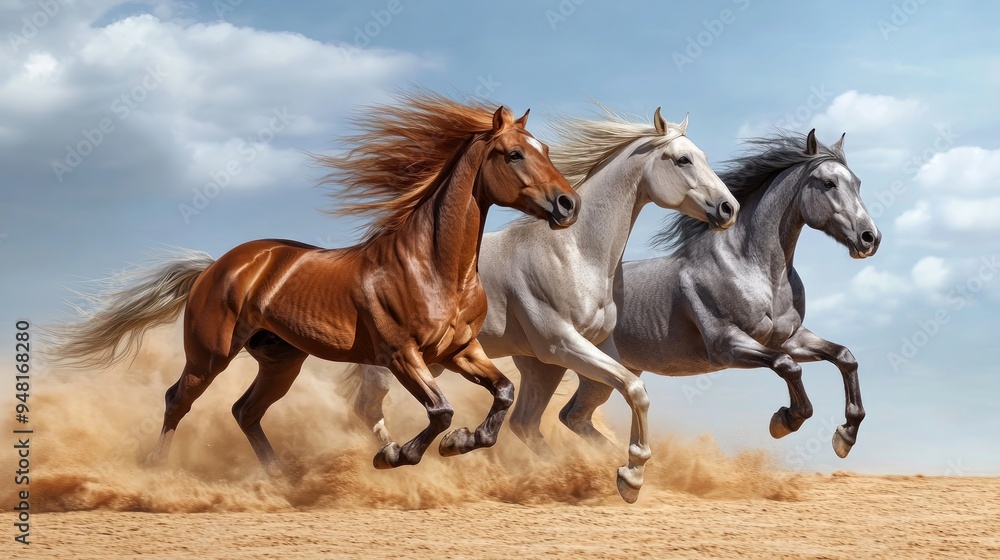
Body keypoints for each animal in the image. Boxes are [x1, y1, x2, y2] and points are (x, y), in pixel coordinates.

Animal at [48, 92, 581, 475]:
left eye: (545, 150)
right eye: (513, 155)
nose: (567, 204)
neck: (432, 266)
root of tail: (216, 267)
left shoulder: (460, 350)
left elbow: (503, 392)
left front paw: (463, 442)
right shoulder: (400, 354)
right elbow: (441, 410)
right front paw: (396, 454)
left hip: (281, 361)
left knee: (245, 411)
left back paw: (281, 477)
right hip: (209, 356)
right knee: (177, 400)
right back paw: (156, 472)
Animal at [346, 107, 740, 502]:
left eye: (703, 155)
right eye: (682, 159)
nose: (729, 208)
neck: (575, 252)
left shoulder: (590, 346)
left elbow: (611, 395)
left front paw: (621, 470)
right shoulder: (561, 344)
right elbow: (634, 390)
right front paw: (631, 476)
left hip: (505, 367)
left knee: (523, 423)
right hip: (394, 362)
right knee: (366, 408)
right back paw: (392, 455)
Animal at [547, 129, 880, 462]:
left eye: (858, 183)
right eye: (828, 183)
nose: (870, 238)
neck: (755, 270)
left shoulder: (789, 338)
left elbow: (844, 357)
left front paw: (845, 436)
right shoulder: (726, 345)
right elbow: (787, 366)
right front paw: (784, 420)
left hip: (612, 371)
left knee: (572, 415)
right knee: (569, 415)